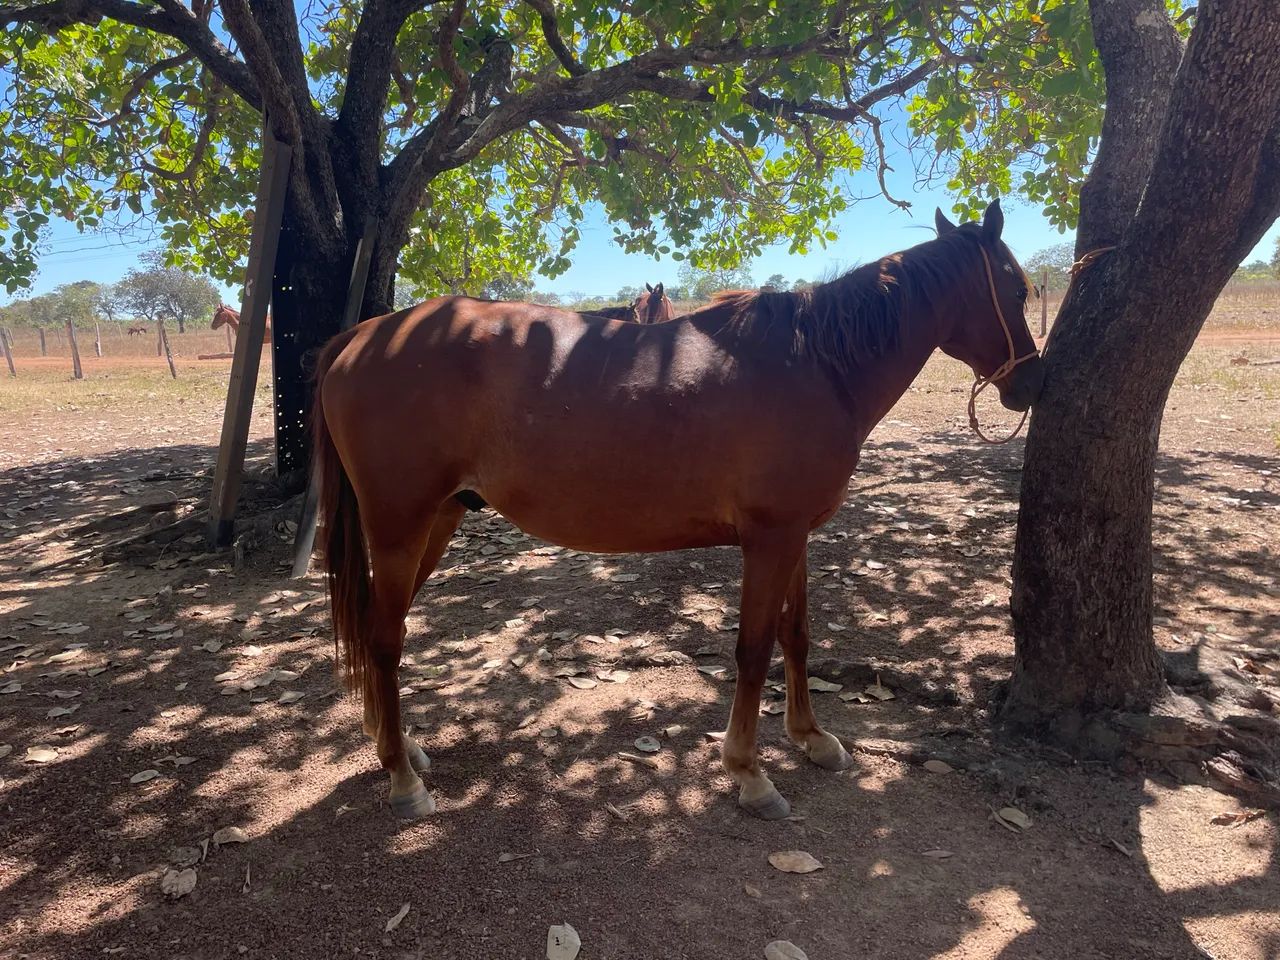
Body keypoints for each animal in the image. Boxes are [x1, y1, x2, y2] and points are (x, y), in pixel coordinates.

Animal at [311, 200, 1044, 821]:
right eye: (1016, 289)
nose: (1030, 385)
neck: (816, 364)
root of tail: (361, 337)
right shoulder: (770, 538)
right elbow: (753, 648)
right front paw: (749, 772)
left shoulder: (796, 536)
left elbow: (797, 636)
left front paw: (811, 738)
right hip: (400, 524)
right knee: (385, 639)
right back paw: (403, 778)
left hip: (438, 519)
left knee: (380, 630)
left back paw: (400, 746)